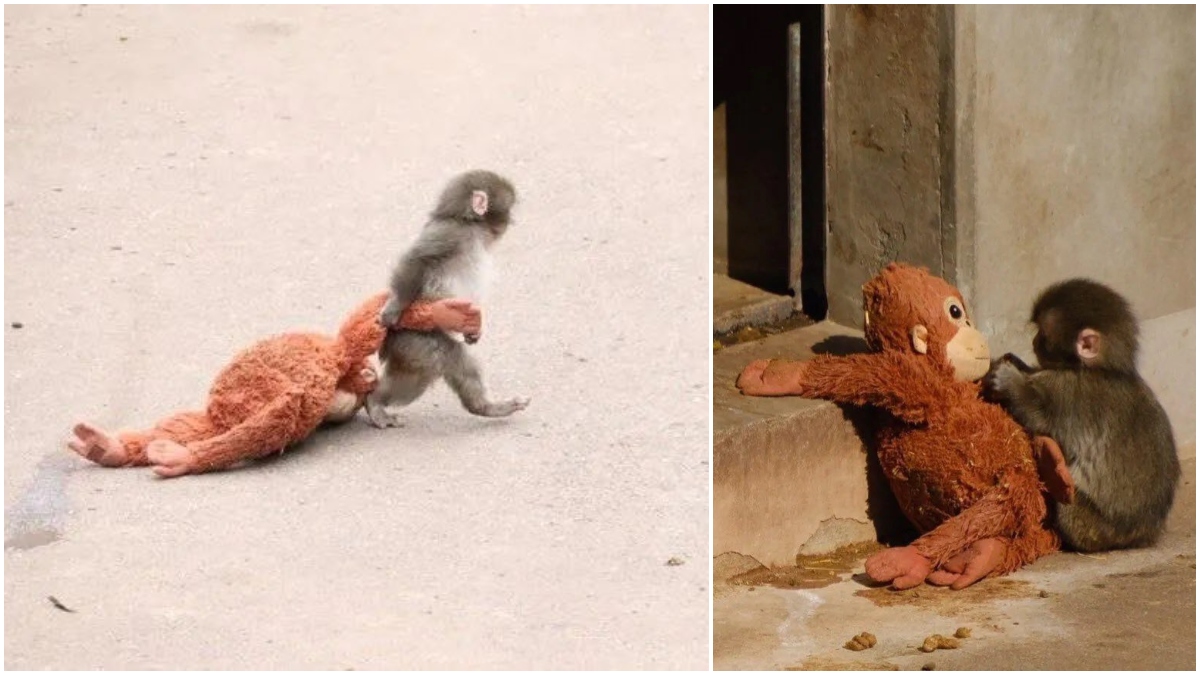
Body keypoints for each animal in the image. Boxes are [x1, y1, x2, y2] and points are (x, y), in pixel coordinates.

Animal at [366, 170, 530, 428]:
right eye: (509, 209)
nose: (511, 222)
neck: (468, 224)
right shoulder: (450, 234)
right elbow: (417, 259)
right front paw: (394, 307)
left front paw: (473, 332)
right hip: (414, 339)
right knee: (450, 358)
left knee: (419, 378)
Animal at [982, 278, 1180, 552]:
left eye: (1043, 334)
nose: (1034, 342)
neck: (1102, 369)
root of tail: (1140, 537)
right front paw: (1017, 364)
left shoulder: (1068, 392)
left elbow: (1039, 417)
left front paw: (1010, 381)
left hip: (1091, 527)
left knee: (1068, 505)